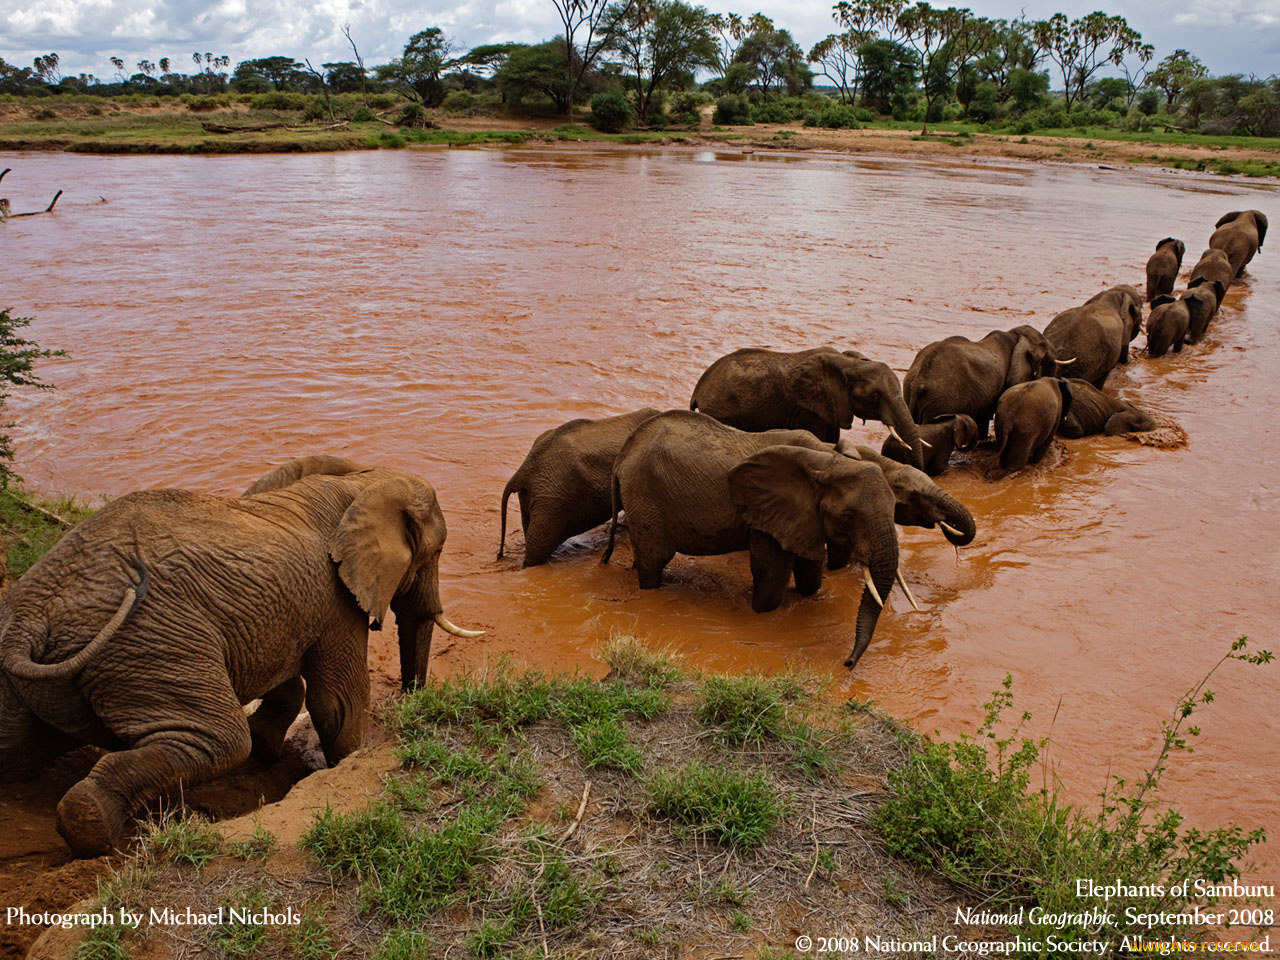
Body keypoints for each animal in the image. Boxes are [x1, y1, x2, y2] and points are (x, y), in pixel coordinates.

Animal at [0, 455, 481, 855]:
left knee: (14, 747)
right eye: (435, 552)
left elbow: (289, 682)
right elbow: (337, 701)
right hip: (150, 644)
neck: (361, 480)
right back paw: (92, 829)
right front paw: (342, 764)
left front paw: (268, 750)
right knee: (221, 739)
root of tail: (29, 615)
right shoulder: (334, 598)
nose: (413, 701)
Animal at [599, 412, 901, 670]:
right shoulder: (767, 514)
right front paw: (763, 612)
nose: (848, 663)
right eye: (849, 516)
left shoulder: (803, 517)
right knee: (654, 561)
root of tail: (623, 454)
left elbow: (809, 575)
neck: (829, 460)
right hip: (645, 495)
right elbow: (773, 573)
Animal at [691, 348, 921, 468]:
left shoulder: (829, 406)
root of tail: (699, 388)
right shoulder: (807, 409)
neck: (849, 362)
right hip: (721, 410)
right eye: (875, 396)